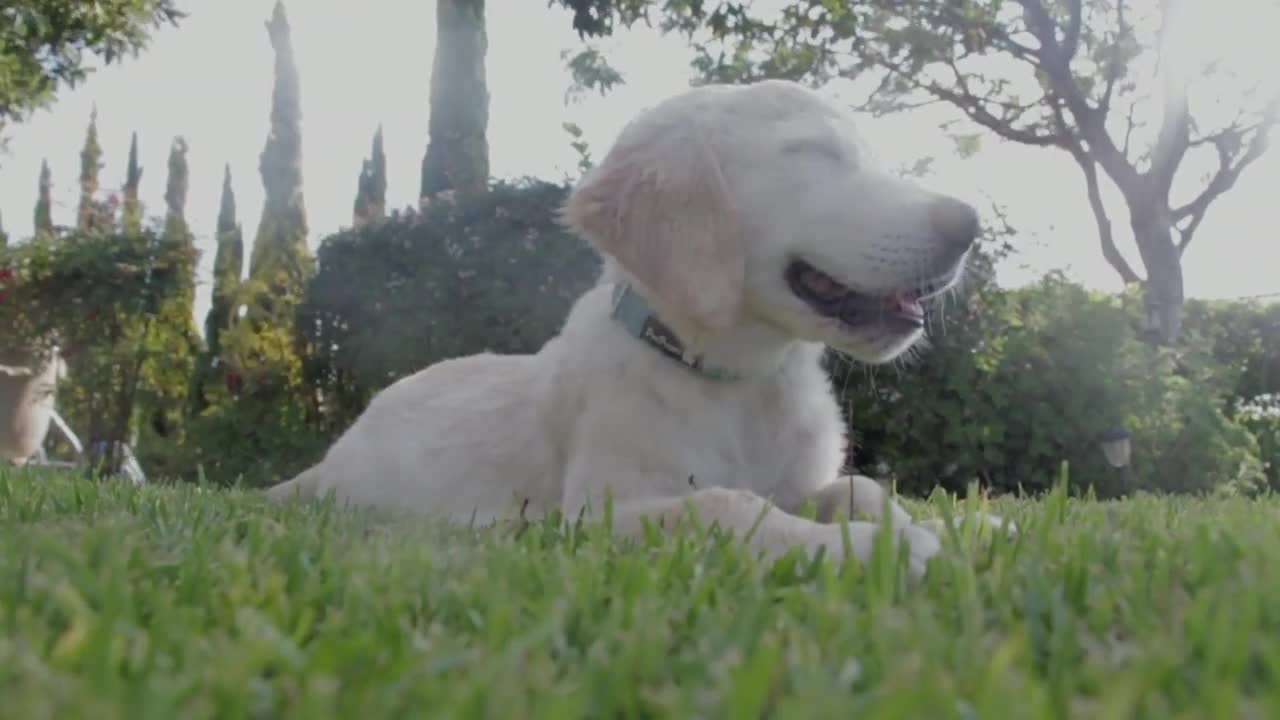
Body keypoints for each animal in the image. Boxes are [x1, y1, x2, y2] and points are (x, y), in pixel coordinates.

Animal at [267, 78, 988, 573]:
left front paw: (963, 530)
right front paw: (875, 548)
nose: (970, 225)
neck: (743, 381)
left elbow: (861, 486)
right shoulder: (598, 512)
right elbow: (726, 504)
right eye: (811, 153)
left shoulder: (803, 482)